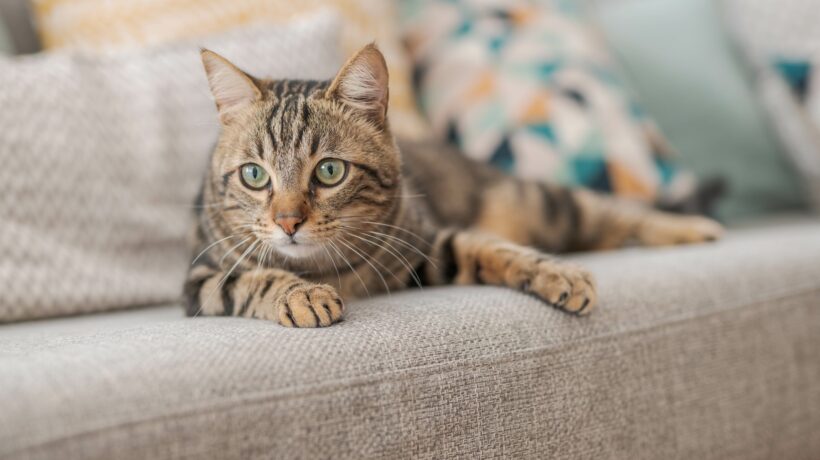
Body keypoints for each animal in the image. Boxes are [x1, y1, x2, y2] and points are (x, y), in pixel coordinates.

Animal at [186, 44, 724, 328]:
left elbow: (492, 248)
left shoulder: (427, 245)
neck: (326, 267)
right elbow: (256, 278)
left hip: (542, 202)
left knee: (613, 212)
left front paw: (557, 274)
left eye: (330, 172)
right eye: (255, 175)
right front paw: (301, 295)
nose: (287, 222)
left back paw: (691, 227)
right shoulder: (201, 282)